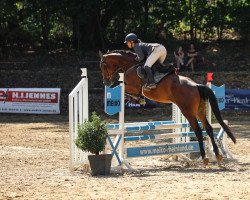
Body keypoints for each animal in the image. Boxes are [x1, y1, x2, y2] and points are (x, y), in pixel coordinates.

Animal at [98, 50, 235, 166]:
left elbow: (125, 90)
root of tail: (196, 85)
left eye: (103, 65)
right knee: (209, 129)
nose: (105, 82)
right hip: (200, 111)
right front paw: (138, 99)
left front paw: (136, 99)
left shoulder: (132, 87)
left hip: (188, 112)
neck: (131, 65)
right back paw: (217, 156)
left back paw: (204, 157)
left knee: (198, 131)